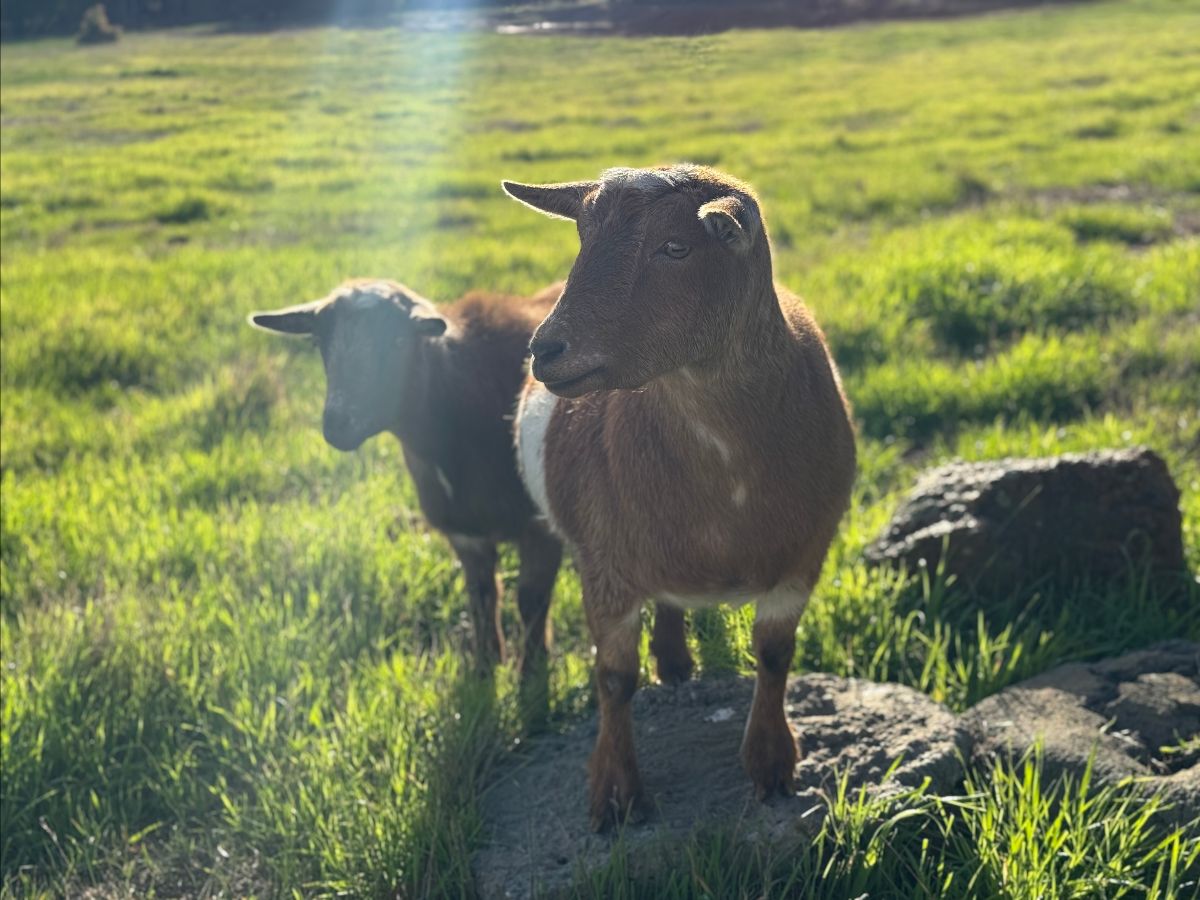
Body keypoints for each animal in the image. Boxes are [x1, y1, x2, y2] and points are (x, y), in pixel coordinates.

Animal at [250, 279, 564, 684]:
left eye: (399, 342)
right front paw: (484, 667)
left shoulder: (541, 526)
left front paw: (532, 674)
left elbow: (531, 601)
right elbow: (482, 597)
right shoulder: (466, 533)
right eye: (320, 342)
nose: (338, 425)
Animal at [504, 165, 856, 829]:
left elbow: (775, 654)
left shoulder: (804, 556)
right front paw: (615, 793)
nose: (546, 349)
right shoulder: (604, 562)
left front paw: (771, 765)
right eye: (583, 235)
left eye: (676, 247)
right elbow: (614, 679)